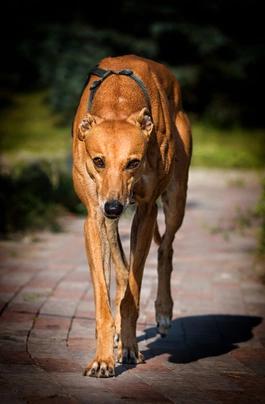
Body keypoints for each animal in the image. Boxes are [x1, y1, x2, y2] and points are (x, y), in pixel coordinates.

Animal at [72, 55, 191, 378]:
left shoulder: (147, 211)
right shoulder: (94, 217)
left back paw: (163, 312)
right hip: (110, 221)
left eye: (133, 163)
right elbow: (106, 296)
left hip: (175, 199)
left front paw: (128, 348)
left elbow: (133, 294)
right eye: (98, 161)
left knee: (166, 250)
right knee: (123, 269)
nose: (114, 207)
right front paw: (103, 358)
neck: (118, 100)